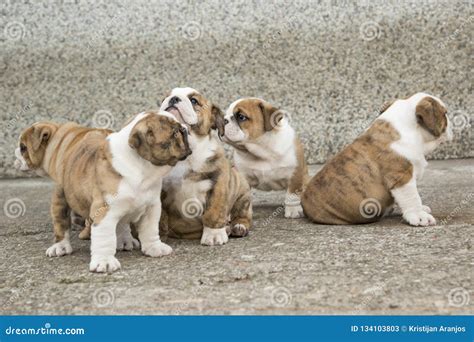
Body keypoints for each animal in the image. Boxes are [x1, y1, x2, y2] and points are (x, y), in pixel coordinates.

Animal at [15, 112, 192, 272]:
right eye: (175, 133)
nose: (185, 129)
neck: (144, 170)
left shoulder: (151, 207)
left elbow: (150, 230)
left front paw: (154, 248)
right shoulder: (104, 211)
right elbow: (104, 239)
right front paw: (104, 261)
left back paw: (124, 239)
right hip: (61, 196)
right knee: (61, 223)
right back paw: (60, 246)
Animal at [158, 87, 252, 244]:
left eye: (194, 100)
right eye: (164, 98)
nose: (174, 98)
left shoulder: (218, 183)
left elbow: (214, 211)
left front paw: (214, 235)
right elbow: (159, 218)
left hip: (242, 194)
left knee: (241, 215)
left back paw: (238, 226)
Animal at [302, 92, 454, 226]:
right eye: (445, 113)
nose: (451, 125)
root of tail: (304, 205)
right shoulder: (401, 177)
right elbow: (412, 198)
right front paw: (419, 216)